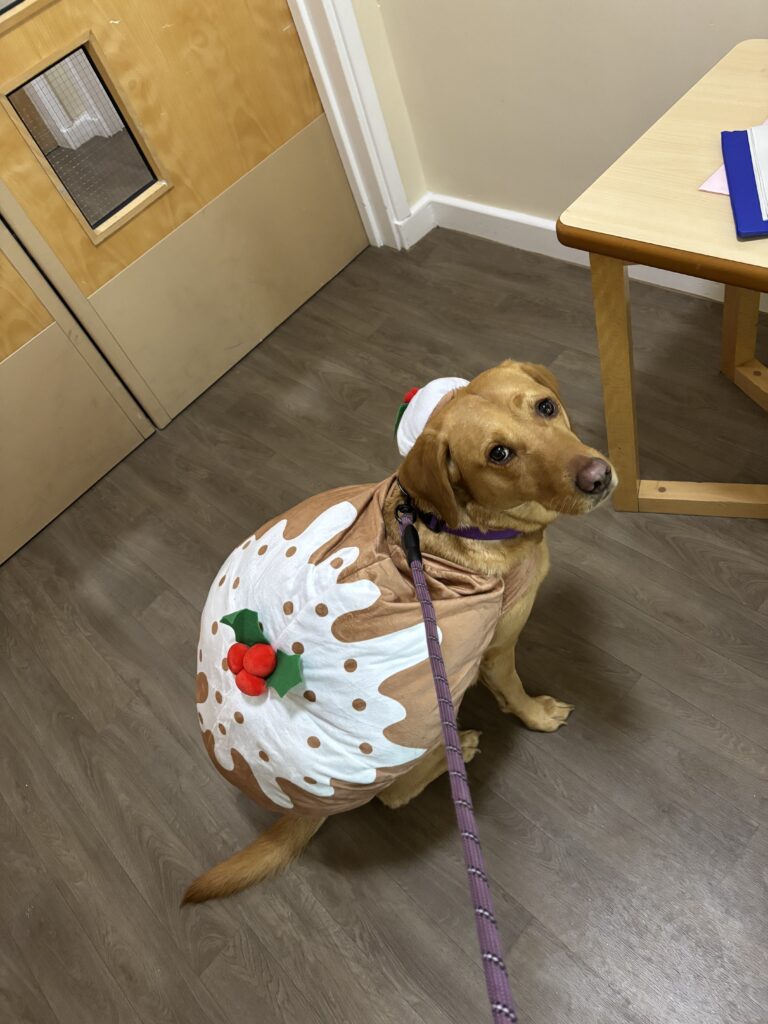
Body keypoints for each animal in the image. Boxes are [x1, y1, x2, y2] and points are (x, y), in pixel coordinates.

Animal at [183, 360, 618, 905]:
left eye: (545, 407)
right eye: (498, 454)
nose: (598, 476)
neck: (455, 522)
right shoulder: (497, 648)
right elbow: (514, 692)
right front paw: (537, 714)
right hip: (428, 721)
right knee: (393, 796)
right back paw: (460, 750)